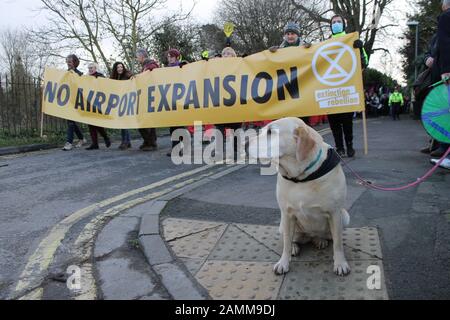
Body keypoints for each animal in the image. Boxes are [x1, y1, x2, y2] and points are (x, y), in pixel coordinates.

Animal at [248, 117, 350, 276]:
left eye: (271, 132)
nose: (244, 144)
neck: (302, 177)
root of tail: (310, 236)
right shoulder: (287, 214)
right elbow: (286, 243)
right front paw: (283, 262)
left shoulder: (335, 212)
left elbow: (338, 243)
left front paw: (340, 263)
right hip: (283, 225)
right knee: (290, 239)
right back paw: (295, 247)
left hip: (344, 216)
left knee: (326, 236)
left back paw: (320, 240)